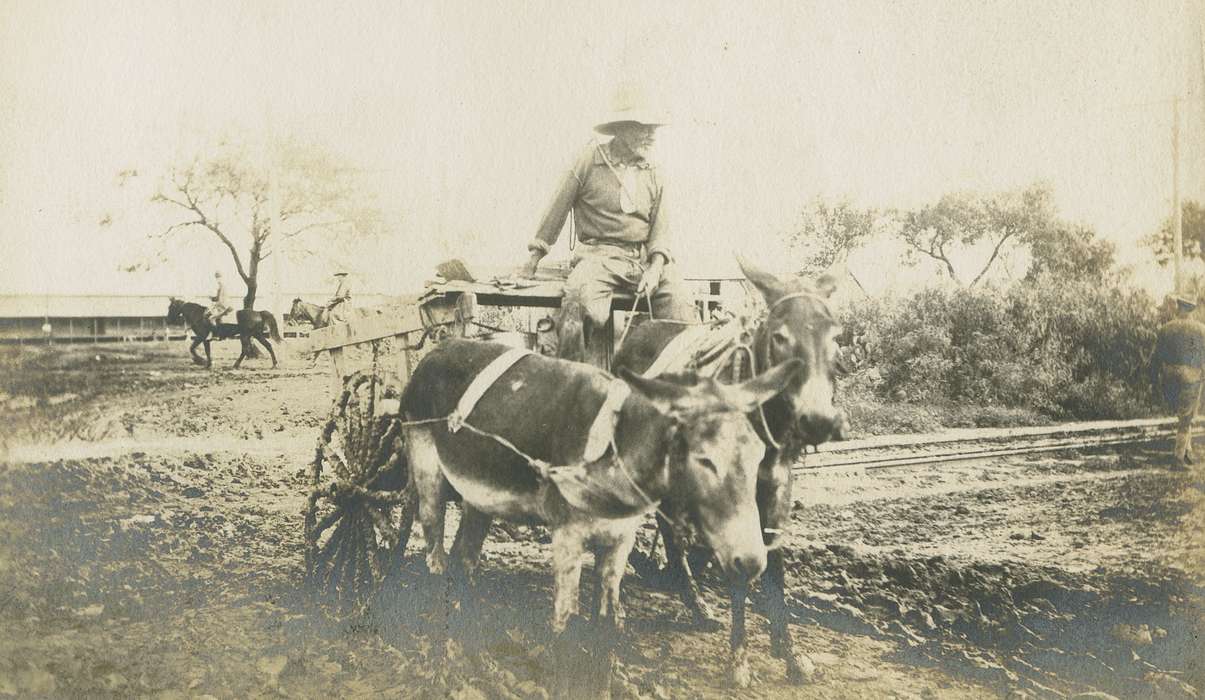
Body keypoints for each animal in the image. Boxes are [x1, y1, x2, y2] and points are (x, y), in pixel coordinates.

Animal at [400, 337, 804, 693]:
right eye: (705, 460)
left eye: (757, 453)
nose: (751, 561)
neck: (614, 453)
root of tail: (437, 349)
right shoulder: (567, 537)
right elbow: (565, 625)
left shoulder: (619, 540)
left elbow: (607, 627)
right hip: (426, 471)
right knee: (435, 562)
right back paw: (439, 669)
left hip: (479, 500)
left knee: (463, 564)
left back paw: (473, 661)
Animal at [612, 257, 848, 689]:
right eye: (780, 337)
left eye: (836, 337)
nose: (819, 420)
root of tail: (637, 329)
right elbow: (741, 569)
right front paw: (739, 659)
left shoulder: (778, 486)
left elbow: (775, 565)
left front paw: (789, 651)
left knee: (670, 529)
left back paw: (695, 603)